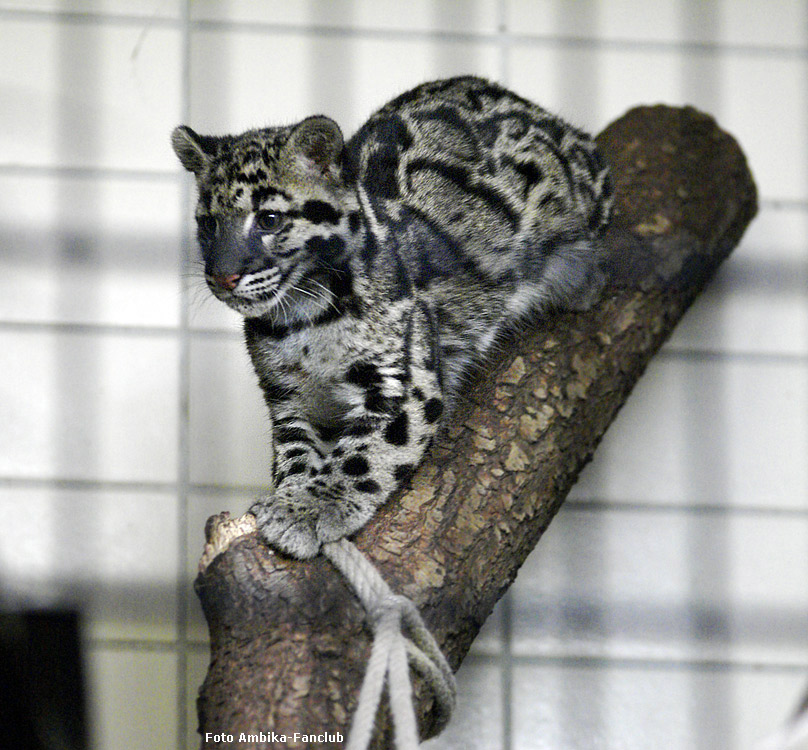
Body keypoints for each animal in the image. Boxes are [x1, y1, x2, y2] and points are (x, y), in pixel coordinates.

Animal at [172, 78, 612, 560]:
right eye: (208, 224)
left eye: (268, 219)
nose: (222, 276)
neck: (302, 318)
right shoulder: (289, 397)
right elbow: (295, 450)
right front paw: (292, 494)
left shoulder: (402, 382)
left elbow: (364, 454)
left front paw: (311, 508)